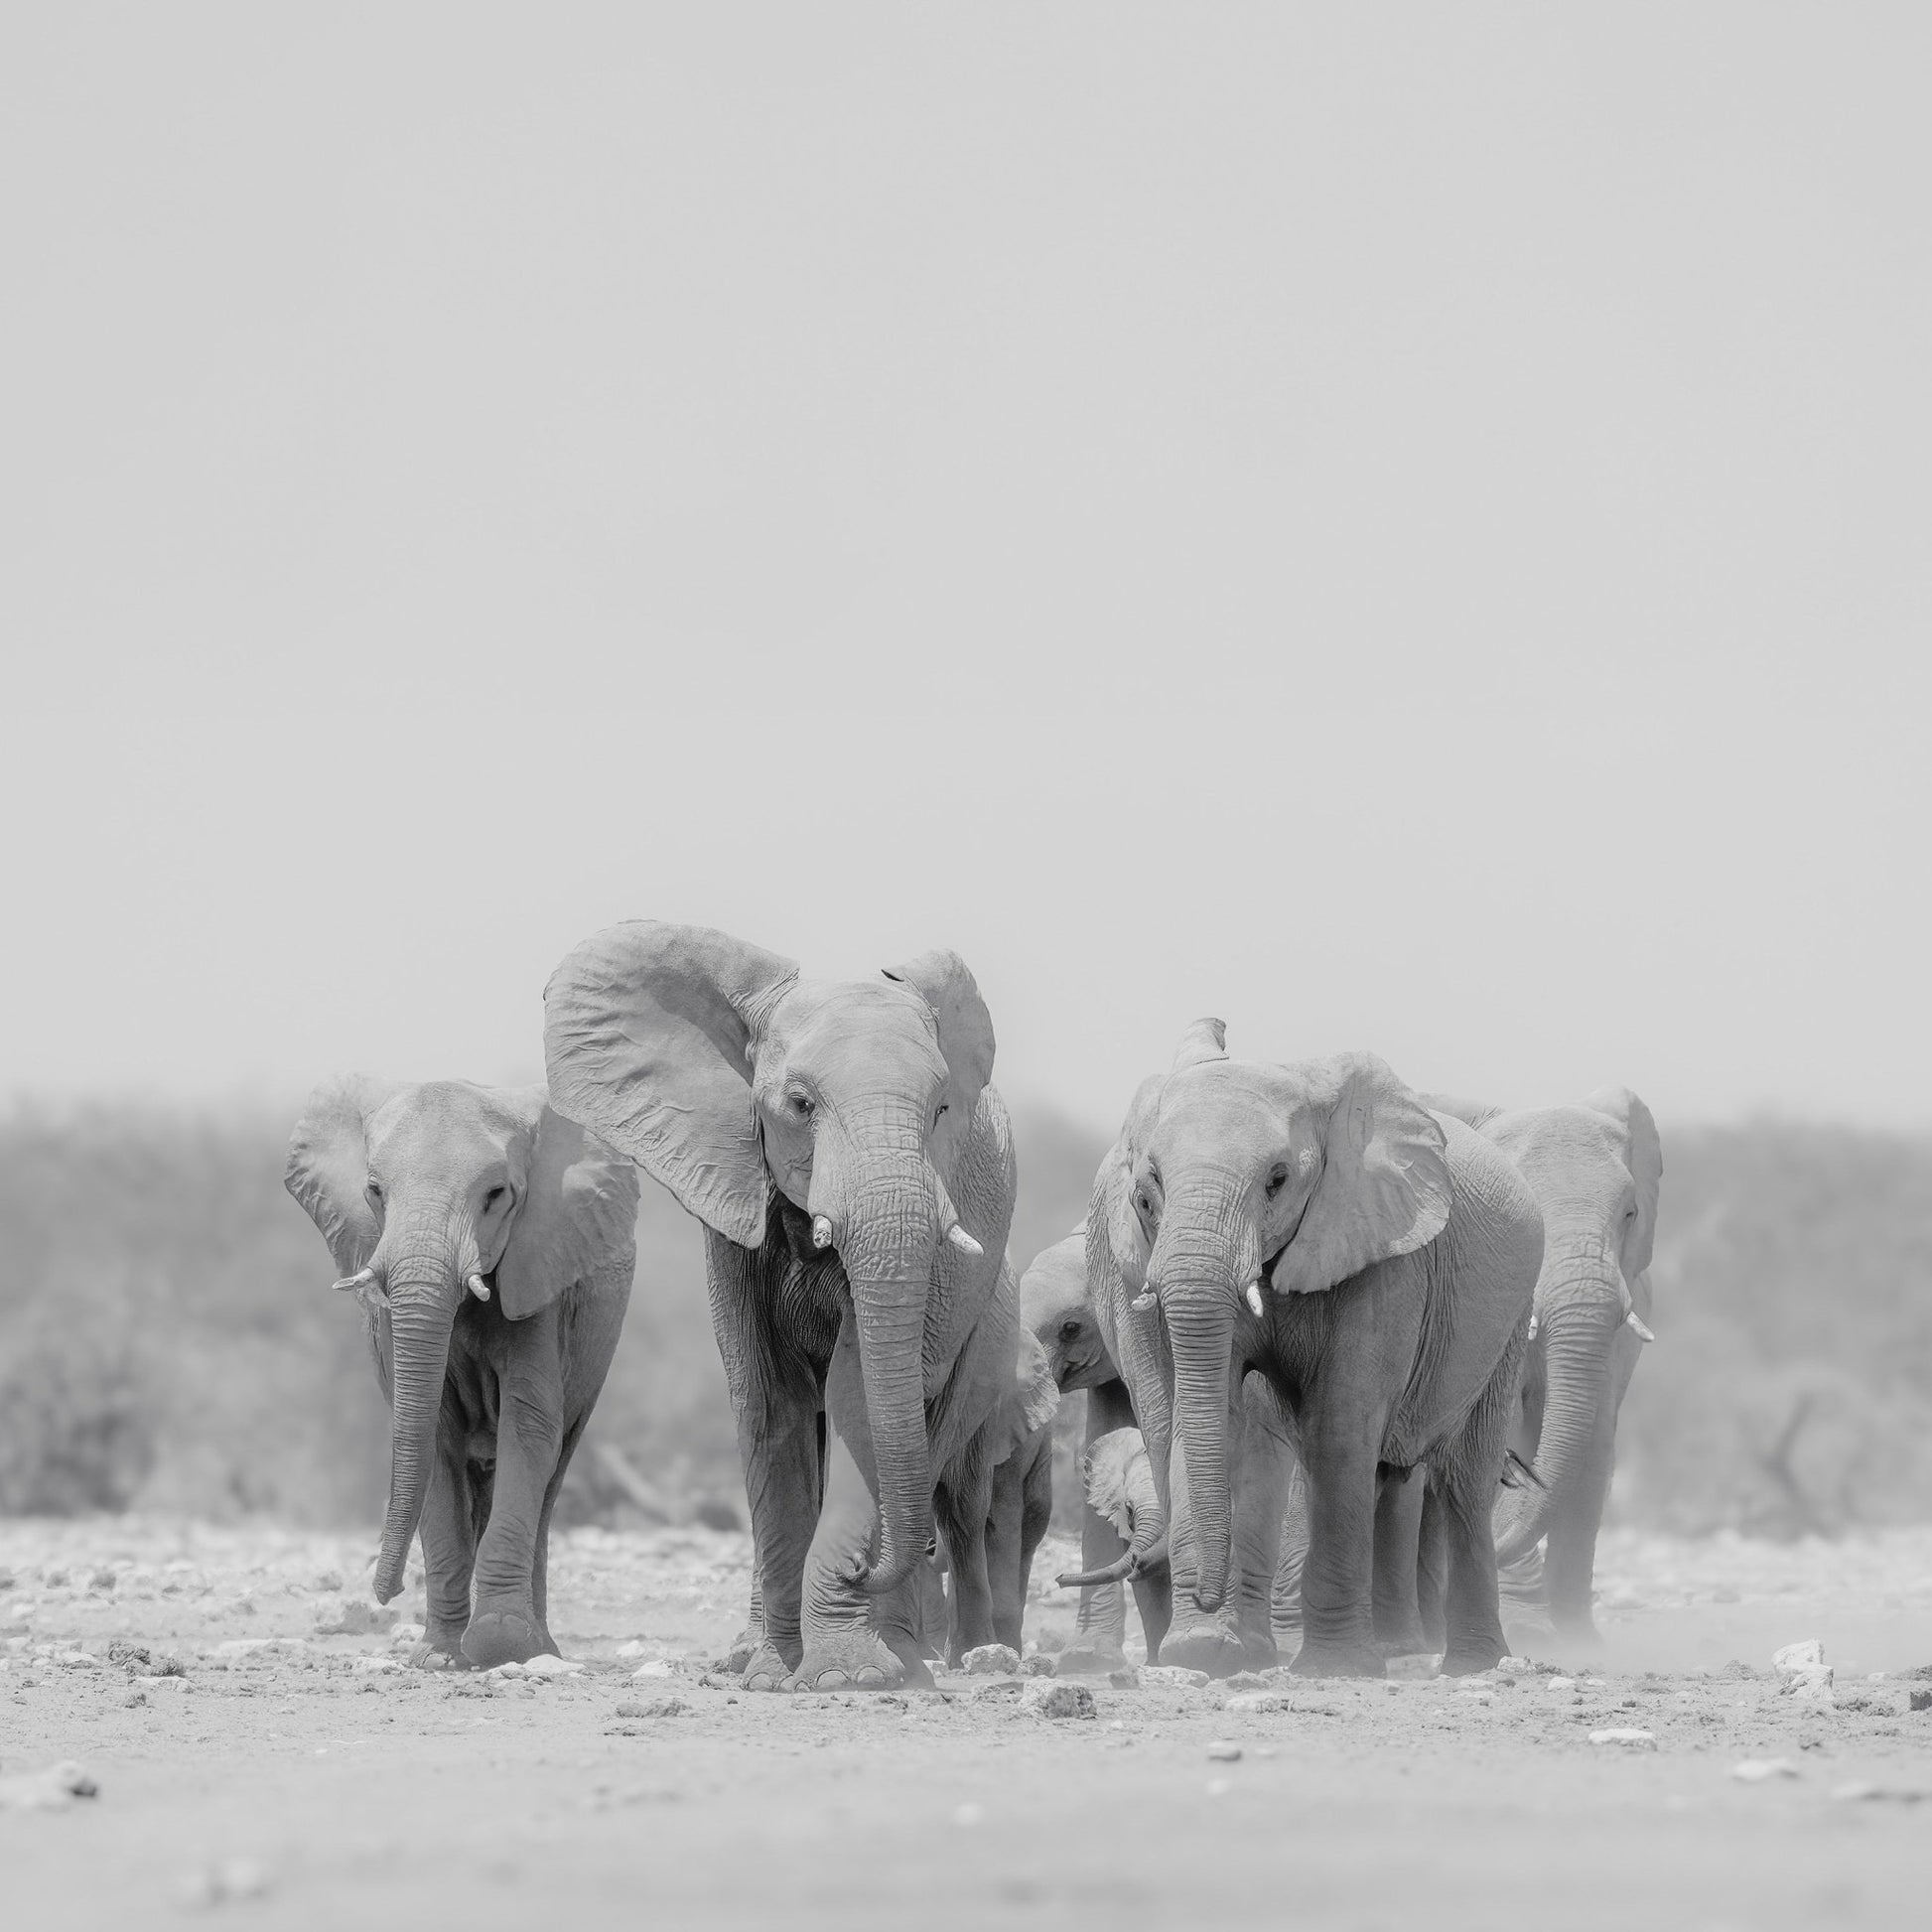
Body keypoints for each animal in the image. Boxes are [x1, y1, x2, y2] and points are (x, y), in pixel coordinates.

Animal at [285, 1078, 638, 1669]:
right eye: (374, 1190)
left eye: (496, 1194)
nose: (386, 1593)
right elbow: (433, 1438)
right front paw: (440, 1658)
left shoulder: (538, 1274)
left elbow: (529, 1428)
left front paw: (500, 1643)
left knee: (551, 1477)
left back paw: (541, 1648)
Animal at [542, 921, 1017, 1692]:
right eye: (800, 1105)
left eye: (942, 1110)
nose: (863, 1570)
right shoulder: (734, 1200)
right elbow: (772, 1401)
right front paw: (776, 1675)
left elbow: (858, 1396)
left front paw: (850, 1677)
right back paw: (760, 1654)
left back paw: (906, 1655)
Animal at [1088, 1021, 1543, 1679]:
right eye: (1146, 1197)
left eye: (1278, 1181)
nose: (1206, 1592)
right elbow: (1189, 1417)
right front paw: (1202, 1652)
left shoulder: (1385, 1253)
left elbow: (1339, 1425)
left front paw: (1337, 1668)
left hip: (1507, 1317)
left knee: (1463, 1477)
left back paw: (1472, 1666)